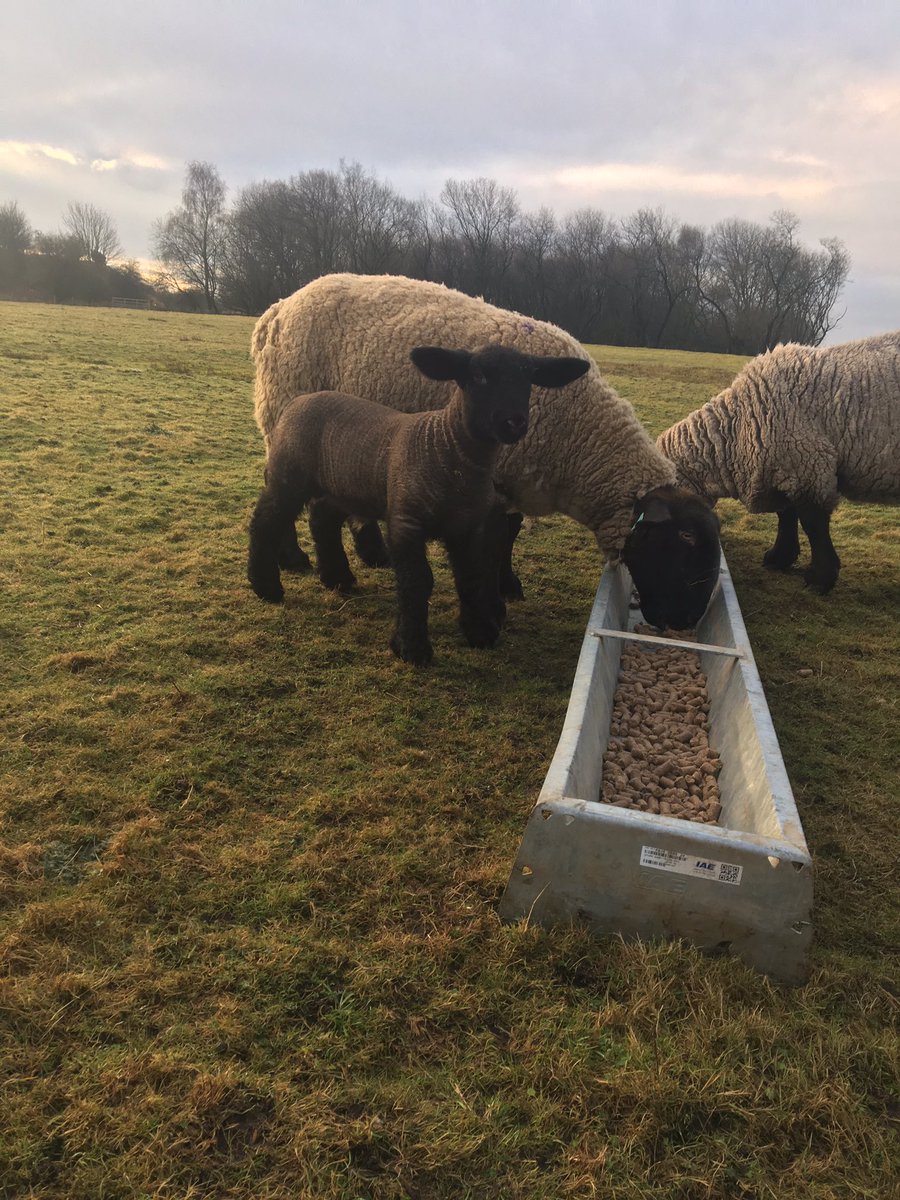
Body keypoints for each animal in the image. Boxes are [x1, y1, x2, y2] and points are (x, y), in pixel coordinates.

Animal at [247, 342, 590, 664]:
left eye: (529, 378)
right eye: (478, 375)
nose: (514, 423)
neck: (448, 445)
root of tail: (298, 401)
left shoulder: (468, 528)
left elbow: (472, 579)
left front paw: (481, 632)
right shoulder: (406, 522)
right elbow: (417, 581)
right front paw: (411, 648)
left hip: (339, 485)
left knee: (322, 521)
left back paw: (338, 579)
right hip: (289, 475)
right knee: (266, 520)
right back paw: (266, 587)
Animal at [251, 273, 721, 631]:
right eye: (684, 540)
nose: (685, 624)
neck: (581, 442)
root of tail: (279, 307)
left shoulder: (514, 482)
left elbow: (508, 537)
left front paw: (507, 585)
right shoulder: (495, 481)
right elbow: (492, 544)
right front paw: (492, 605)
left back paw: (365, 558)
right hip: (284, 414)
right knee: (281, 496)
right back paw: (291, 561)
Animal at [657, 331, 900, 593]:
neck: (736, 429)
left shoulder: (809, 465)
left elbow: (813, 524)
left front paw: (820, 578)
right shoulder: (786, 467)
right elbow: (786, 516)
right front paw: (780, 558)